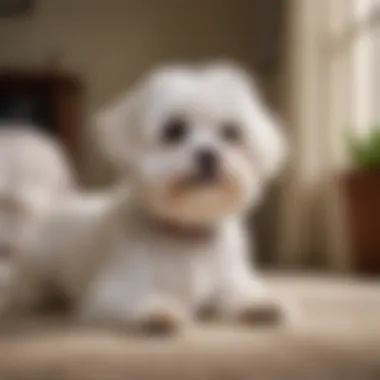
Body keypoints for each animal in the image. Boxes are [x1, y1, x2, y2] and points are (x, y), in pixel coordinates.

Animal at [11, 63, 286, 334]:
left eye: (231, 132)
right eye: (174, 130)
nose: (209, 154)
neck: (186, 234)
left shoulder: (229, 276)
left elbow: (237, 291)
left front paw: (258, 304)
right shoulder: (112, 291)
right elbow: (136, 297)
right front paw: (157, 311)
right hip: (38, 268)